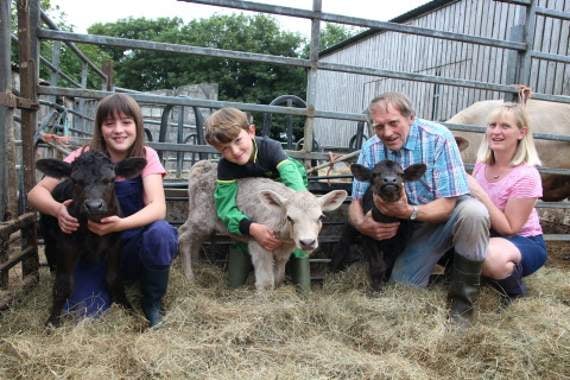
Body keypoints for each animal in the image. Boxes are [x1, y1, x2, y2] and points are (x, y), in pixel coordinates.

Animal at [36, 151, 146, 326]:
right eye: (75, 180)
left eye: (111, 179)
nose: (94, 206)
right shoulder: (67, 245)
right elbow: (63, 284)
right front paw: (52, 321)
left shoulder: (115, 245)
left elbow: (114, 278)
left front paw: (131, 312)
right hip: (49, 234)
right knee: (49, 253)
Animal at [326, 160, 424, 290]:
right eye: (375, 174)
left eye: (401, 174)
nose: (390, 180)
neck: (387, 219)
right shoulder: (369, 236)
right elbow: (378, 265)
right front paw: (375, 289)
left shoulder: (401, 241)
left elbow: (387, 264)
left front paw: (383, 282)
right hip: (352, 227)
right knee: (342, 245)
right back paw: (331, 273)